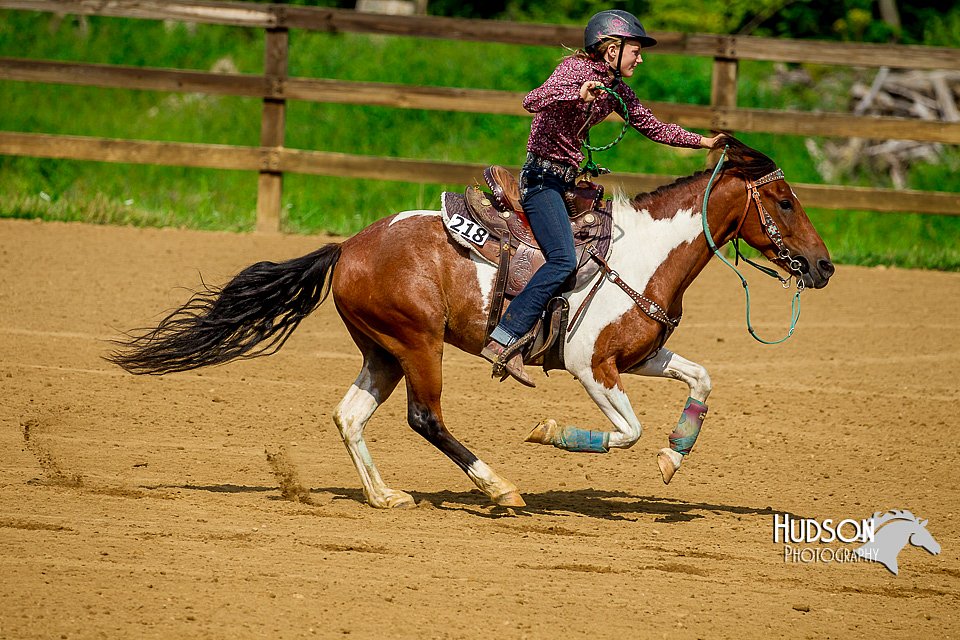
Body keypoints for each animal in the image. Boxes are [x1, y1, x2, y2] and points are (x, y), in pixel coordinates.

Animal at [109, 136, 836, 510]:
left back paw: (385, 496)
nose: (824, 266)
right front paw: (553, 435)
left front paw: (671, 458)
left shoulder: (639, 357)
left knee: (349, 415)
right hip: (417, 343)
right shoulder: (589, 366)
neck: (641, 255)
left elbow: (701, 379)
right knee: (425, 418)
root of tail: (347, 247)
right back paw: (500, 487)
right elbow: (625, 431)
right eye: (783, 200)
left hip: (382, 350)